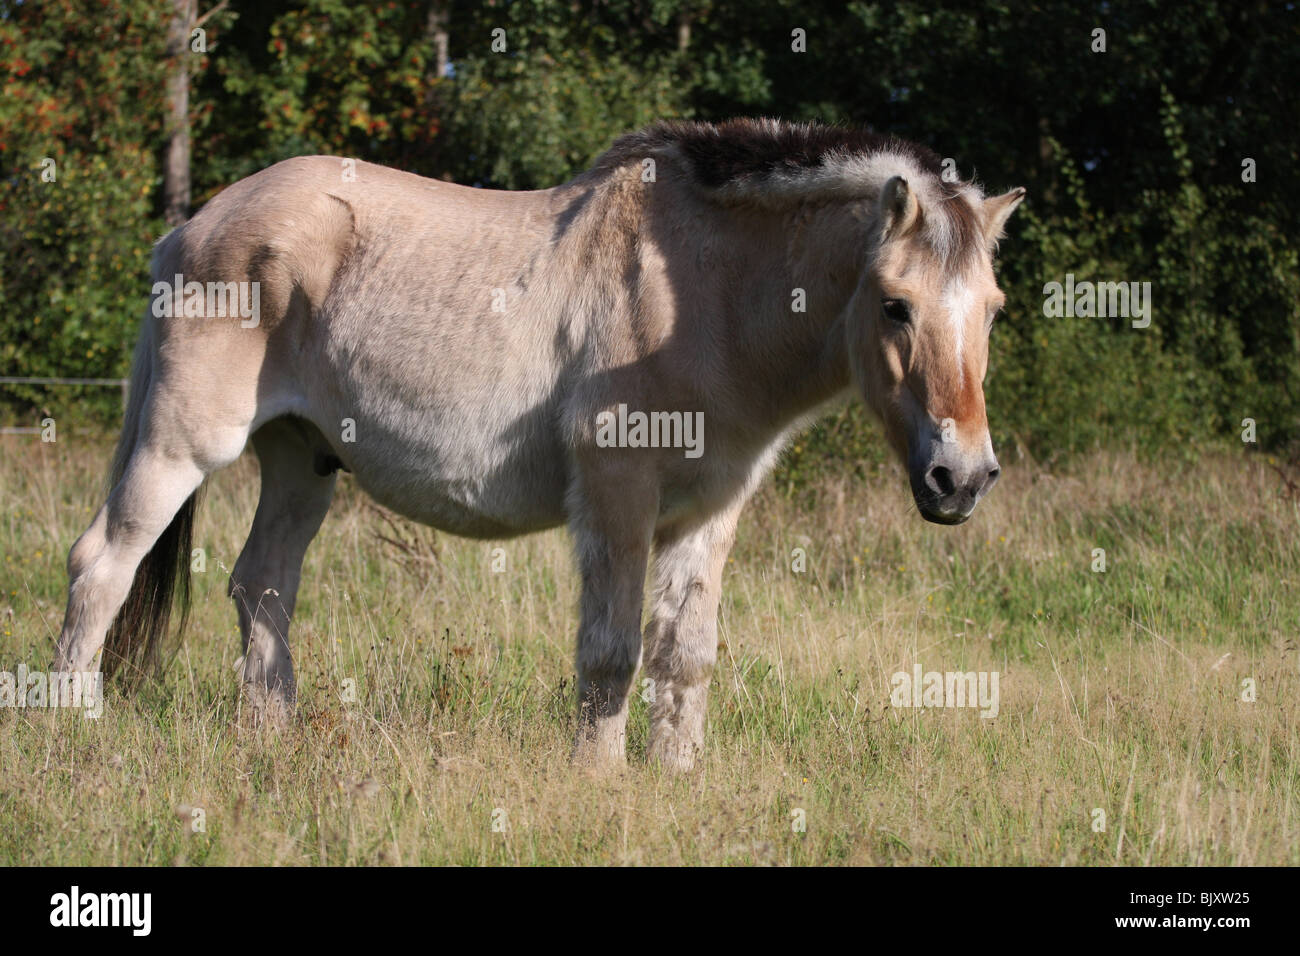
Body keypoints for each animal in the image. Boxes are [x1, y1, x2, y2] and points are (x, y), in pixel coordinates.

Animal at [53, 119, 1024, 775]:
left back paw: (270, 740)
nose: (962, 477)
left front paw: (676, 778)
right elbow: (612, 651)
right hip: (180, 444)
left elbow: (687, 653)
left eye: (993, 309)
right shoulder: (618, 491)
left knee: (261, 585)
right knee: (101, 565)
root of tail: (190, 228)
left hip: (301, 460)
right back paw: (68, 728)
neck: (698, 293)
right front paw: (600, 779)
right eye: (895, 304)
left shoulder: (709, 509)